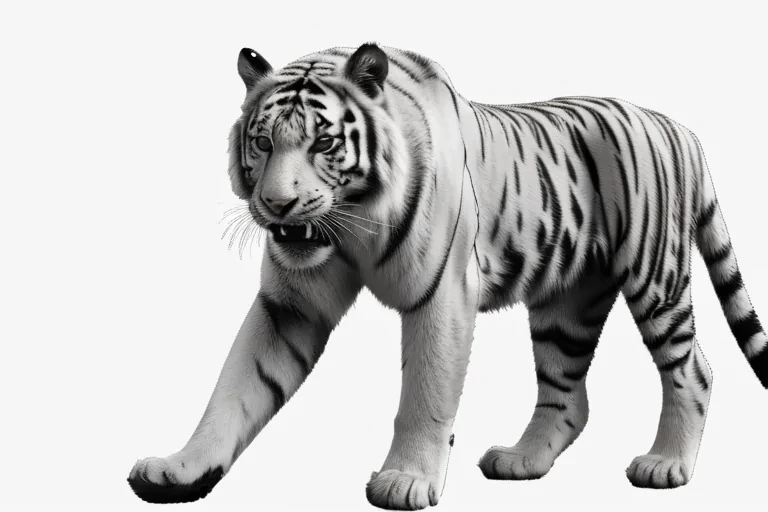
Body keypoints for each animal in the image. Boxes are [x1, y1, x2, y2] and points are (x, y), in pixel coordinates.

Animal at [127, 42, 768, 509]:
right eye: (262, 142)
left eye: (325, 143)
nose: (277, 206)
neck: (352, 226)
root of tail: (677, 126)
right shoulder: (289, 305)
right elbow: (235, 388)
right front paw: (179, 469)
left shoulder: (443, 294)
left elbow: (425, 393)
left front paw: (404, 481)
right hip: (566, 305)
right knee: (567, 395)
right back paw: (522, 461)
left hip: (656, 278)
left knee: (694, 369)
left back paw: (666, 465)